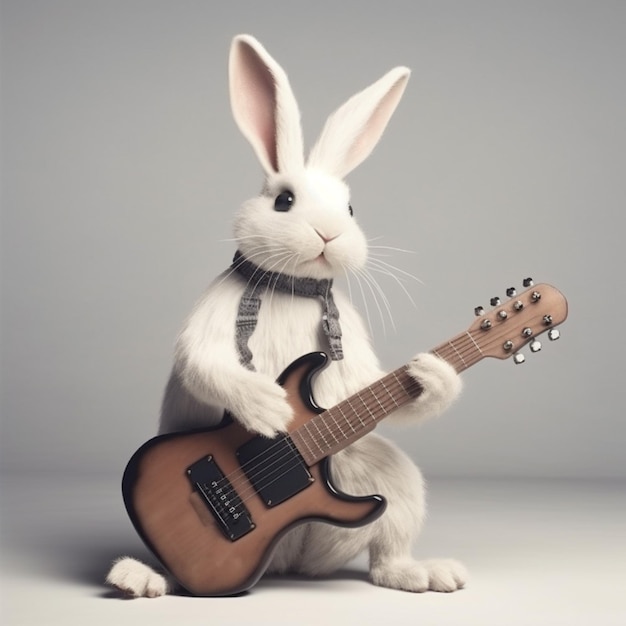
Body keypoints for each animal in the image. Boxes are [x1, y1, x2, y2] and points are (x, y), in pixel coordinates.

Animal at [106, 33, 464, 596]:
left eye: (350, 210)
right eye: (284, 201)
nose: (329, 234)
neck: (292, 289)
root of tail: (288, 562)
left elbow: (382, 388)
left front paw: (435, 375)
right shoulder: (214, 318)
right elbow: (202, 363)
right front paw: (268, 408)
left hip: (391, 479)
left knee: (387, 552)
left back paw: (423, 572)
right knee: (169, 568)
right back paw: (137, 576)